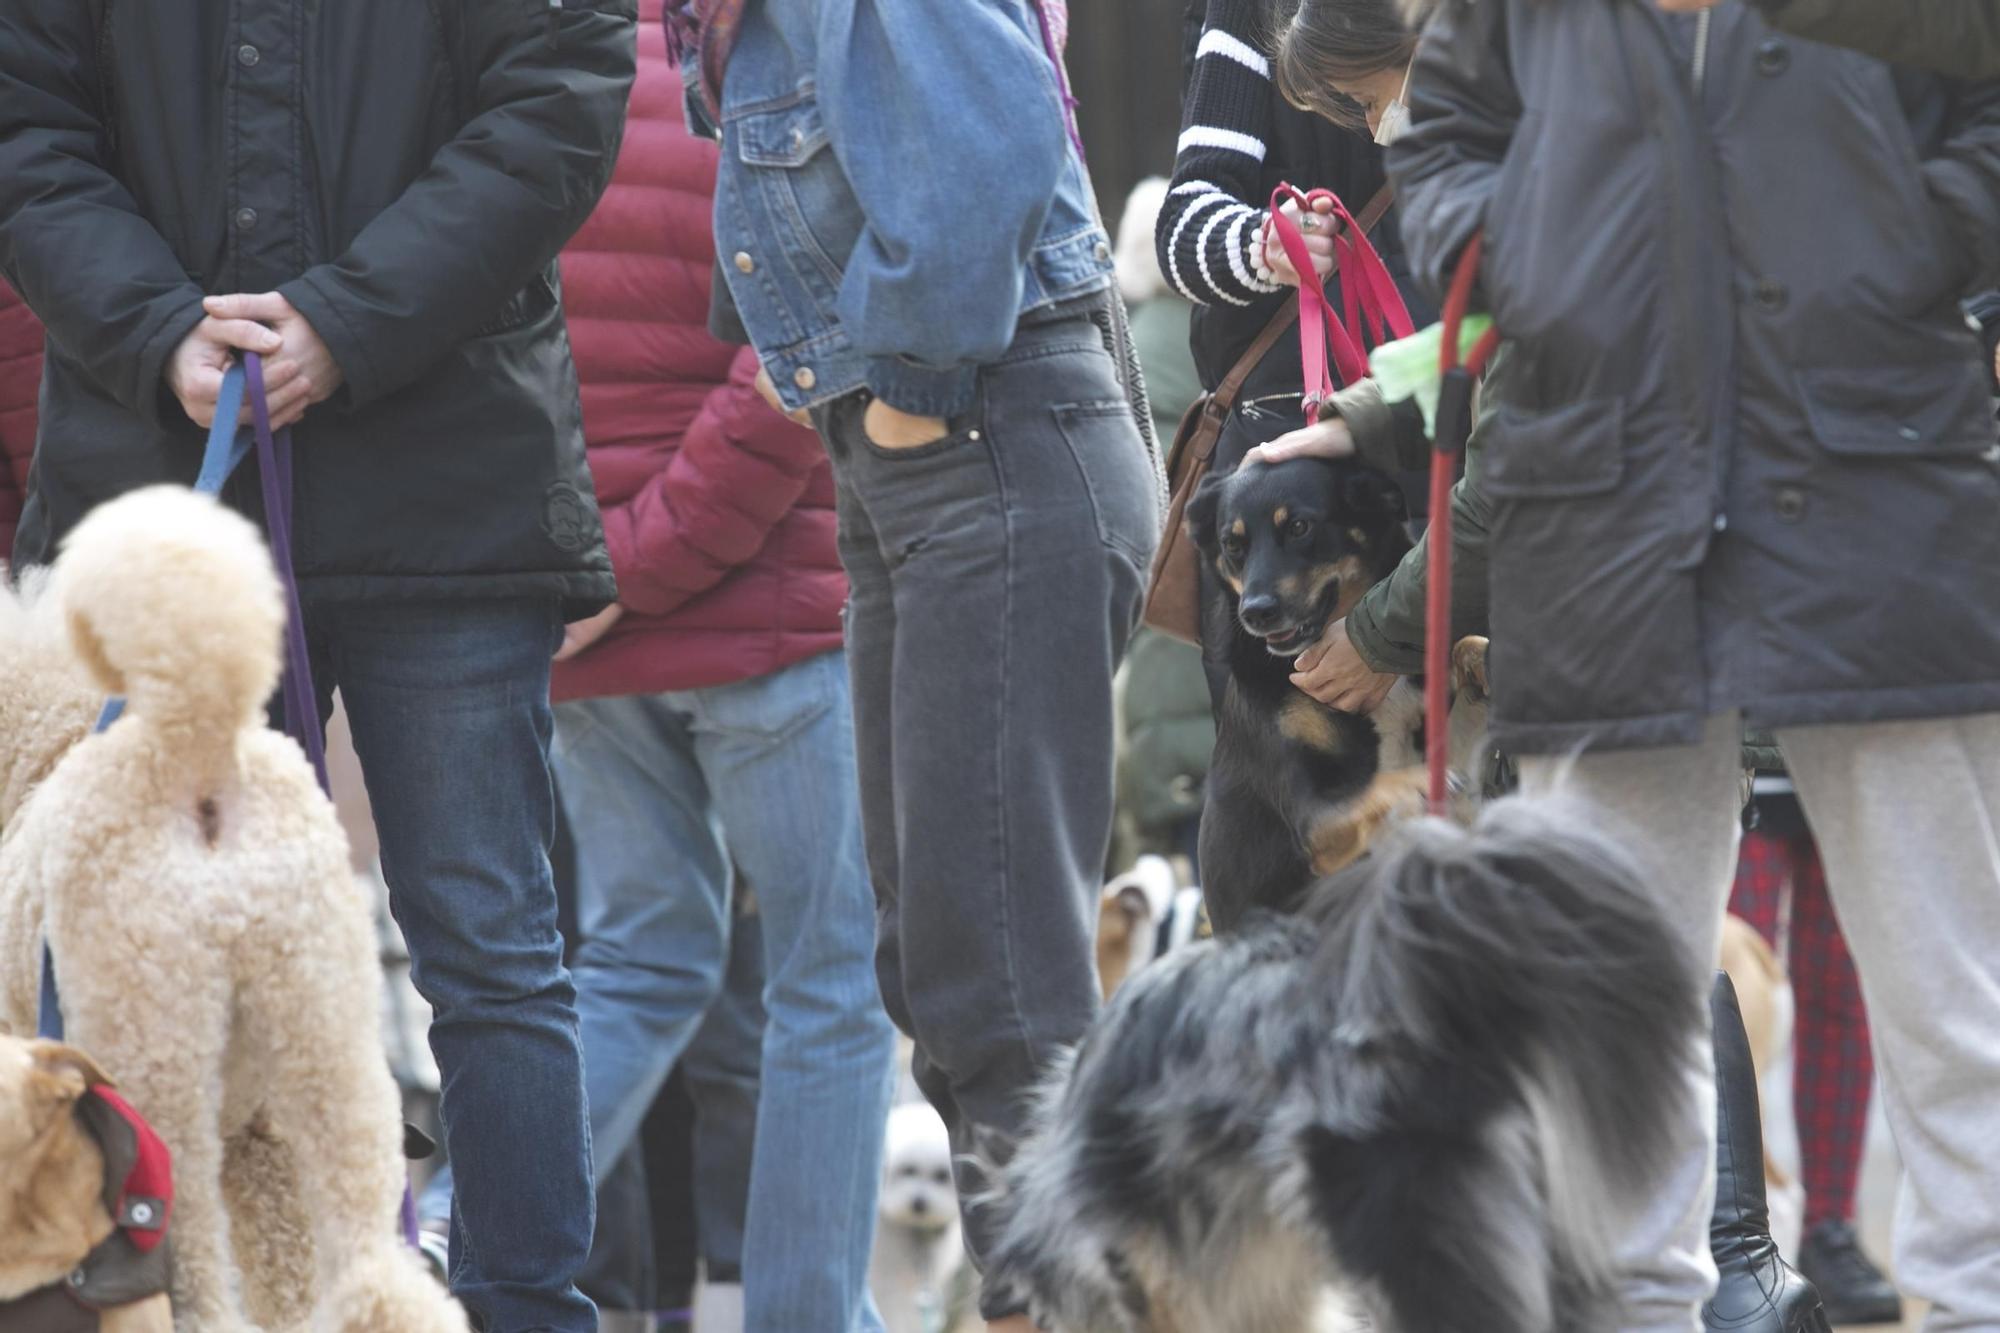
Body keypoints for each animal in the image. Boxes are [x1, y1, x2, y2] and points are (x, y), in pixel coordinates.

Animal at [1184, 454, 1488, 924]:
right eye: (1232, 544)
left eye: (1298, 527)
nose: (1255, 613)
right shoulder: (1316, 820)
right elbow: (1378, 785)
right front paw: (1418, 781)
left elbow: (1462, 651)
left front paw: (1480, 657)